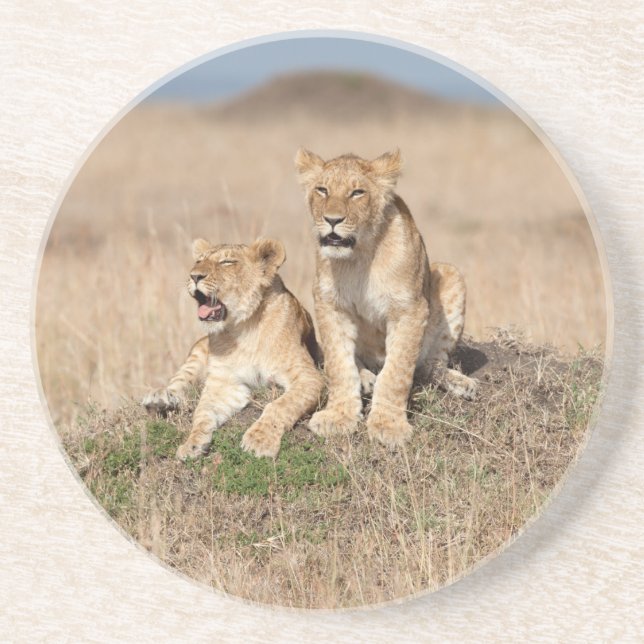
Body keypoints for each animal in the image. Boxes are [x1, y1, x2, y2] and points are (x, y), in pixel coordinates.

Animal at [143, 237, 324, 459]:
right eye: (199, 261)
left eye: (227, 262)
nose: (194, 276)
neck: (244, 328)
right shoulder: (225, 383)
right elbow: (202, 413)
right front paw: (192, 444)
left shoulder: (309, 376)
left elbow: (280, 405)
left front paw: (259, 441)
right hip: (197, 350)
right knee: (179, 382)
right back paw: (159, 398)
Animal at [294, 148, 477, 446]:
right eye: (322, 190)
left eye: (357, 192)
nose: (332, 220)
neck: (359, 256)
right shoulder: (330, 305)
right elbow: (338, 364)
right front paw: (338, 417)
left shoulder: (410, 310)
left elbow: (397, 372)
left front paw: (388, 426)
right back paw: (366, 377)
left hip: (451, 274)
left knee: (429, 365)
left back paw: (462, 384)